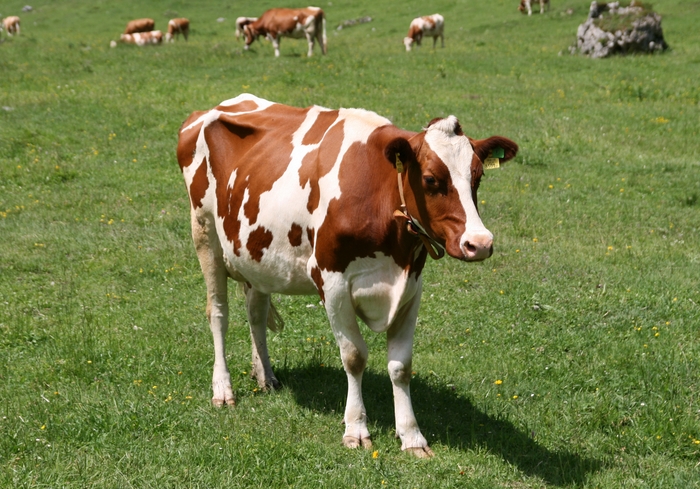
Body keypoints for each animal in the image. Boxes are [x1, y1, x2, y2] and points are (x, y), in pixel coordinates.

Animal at [178, 92, 516, 458]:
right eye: (430, 179)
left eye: (478, 177)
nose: (479, 243)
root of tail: (211, 109)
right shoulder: (332, 281)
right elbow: (354, 357)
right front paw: (356, 429)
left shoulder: (411, 286)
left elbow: (401, 365)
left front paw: (411, 436)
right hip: (205, 236)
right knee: (218, 314)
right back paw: (223, 388)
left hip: (256, 254)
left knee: (256, 313)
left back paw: (265, 376)